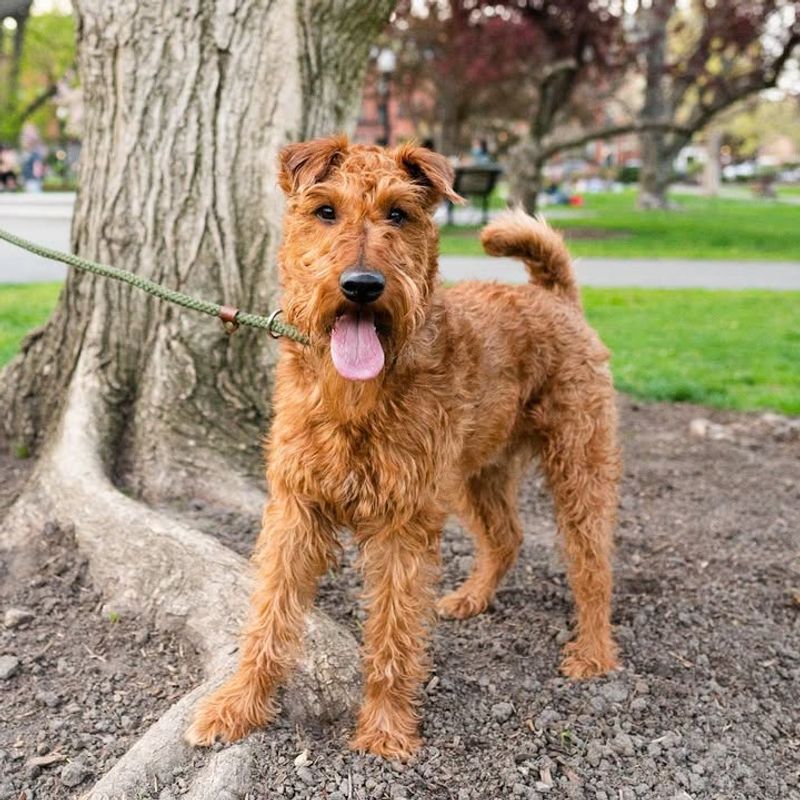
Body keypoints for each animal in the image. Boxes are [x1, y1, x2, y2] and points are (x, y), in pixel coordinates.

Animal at [184, 136, 620, 756]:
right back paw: (471, 598)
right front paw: (238, 706)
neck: (354, 398)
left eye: (398, 213)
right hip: (476, 472)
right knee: (507, 536)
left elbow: (392, 633)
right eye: (325, 210)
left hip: (578, 463)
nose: (362, 285)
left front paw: (385, 730)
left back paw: (593, 653)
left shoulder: (402, 522)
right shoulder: (296, 508)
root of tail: (553, 296)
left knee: (592, 564)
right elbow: (270, 617)